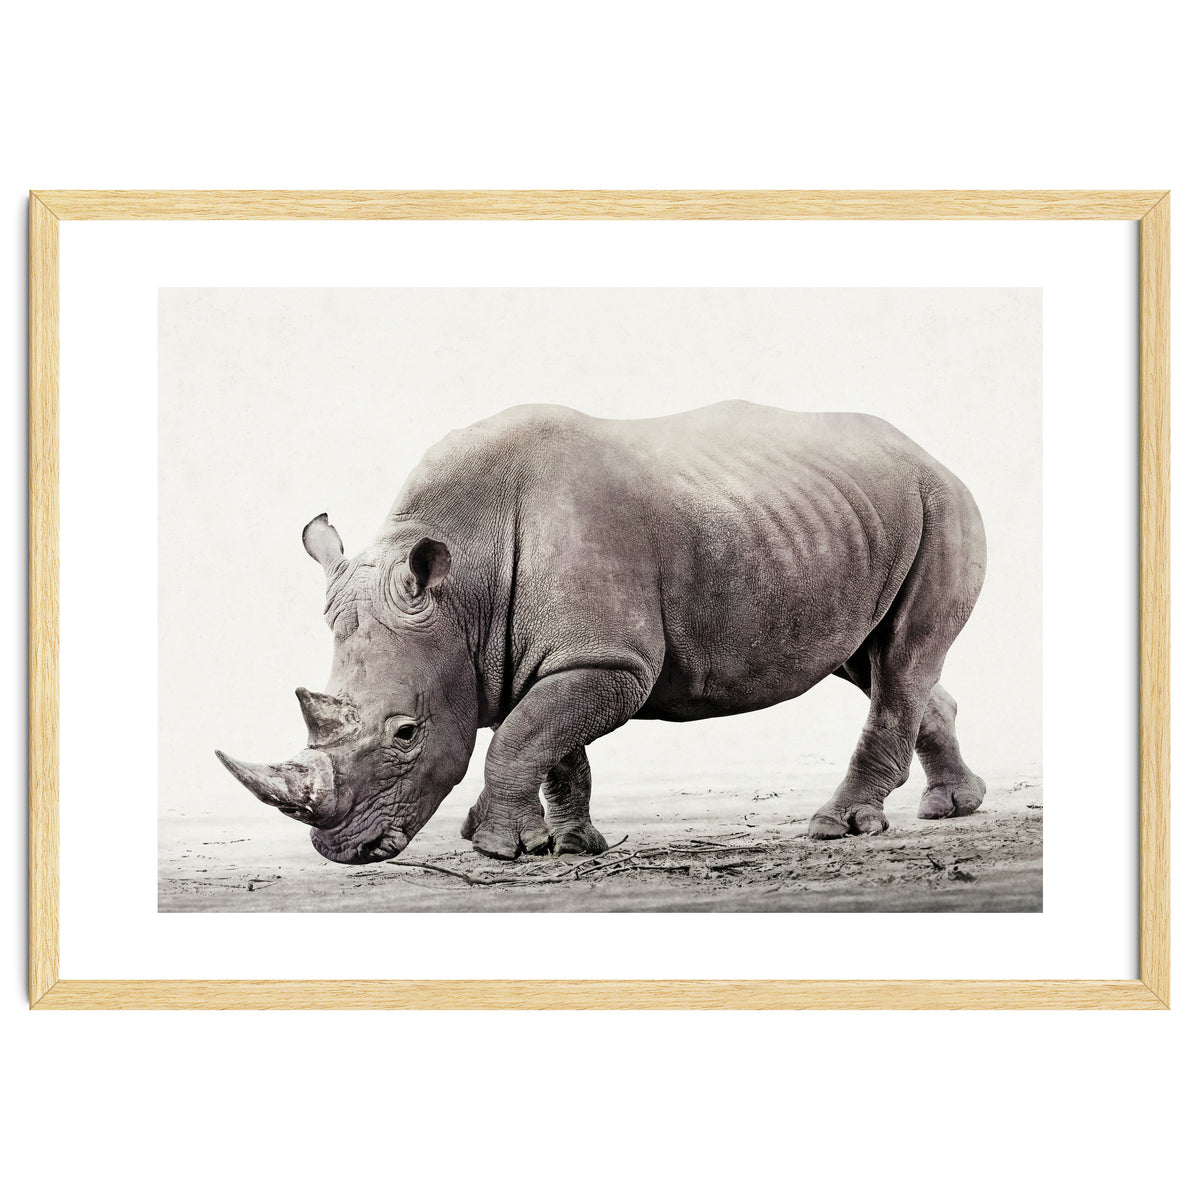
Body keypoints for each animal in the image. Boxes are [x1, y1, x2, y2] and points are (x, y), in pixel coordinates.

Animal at [217, 400, 987, 865]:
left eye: (405, 733)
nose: (341, 849)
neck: (464, 585)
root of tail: (928, 452)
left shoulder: (609, 659)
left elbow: (524, 736)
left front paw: (496, 849)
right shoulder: (558, 655)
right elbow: (553, 744)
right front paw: (570, 844)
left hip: (942, 504)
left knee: (900, 660)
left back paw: (839, 826)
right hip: (844, 519)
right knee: (873, 661)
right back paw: (952, 808)